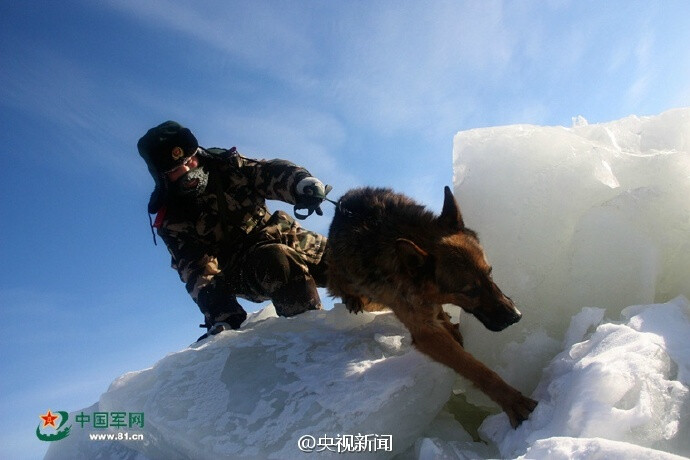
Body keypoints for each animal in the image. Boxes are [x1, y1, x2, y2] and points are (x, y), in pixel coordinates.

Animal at [326, 186, 536, 428]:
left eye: (490, 273)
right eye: (469, 291)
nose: (516, 317)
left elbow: (439, 312)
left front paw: (448, 323)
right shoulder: (426, 333)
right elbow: (475, 368)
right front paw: (512, 400)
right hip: (342, 273)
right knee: (339, 283)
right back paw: (352, 298)